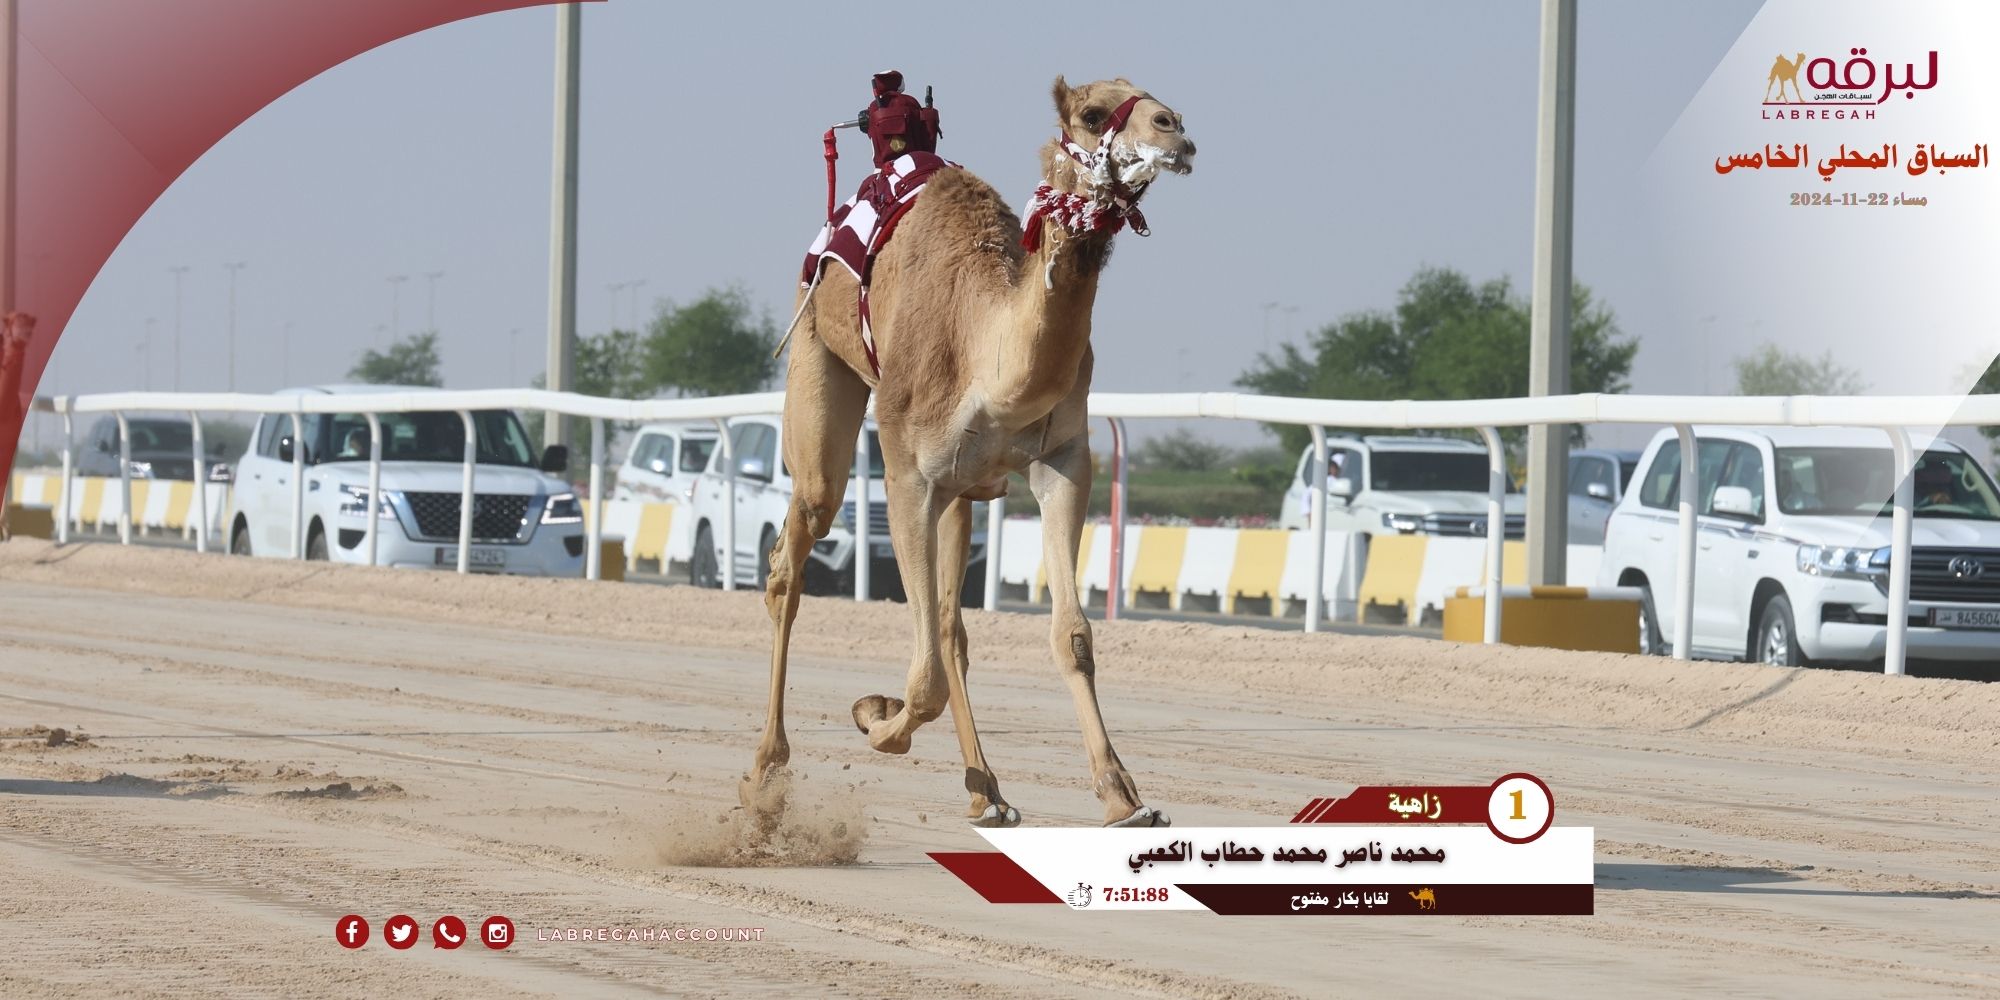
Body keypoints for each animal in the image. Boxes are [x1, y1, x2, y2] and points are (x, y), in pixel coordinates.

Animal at [748, 78, 1184, 828]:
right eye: (1093, 113)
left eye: (1159, 103)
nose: (1175, 130)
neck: (987, 350)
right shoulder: (906, 473)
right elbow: (921, 678)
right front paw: (874, 714)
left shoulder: (1062, 461)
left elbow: (1070, 637)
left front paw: (1124, 799)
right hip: (816, 364)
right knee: (792, 558)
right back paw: (766, 777)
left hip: (966, 489)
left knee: (951, 628)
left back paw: (989, 793)